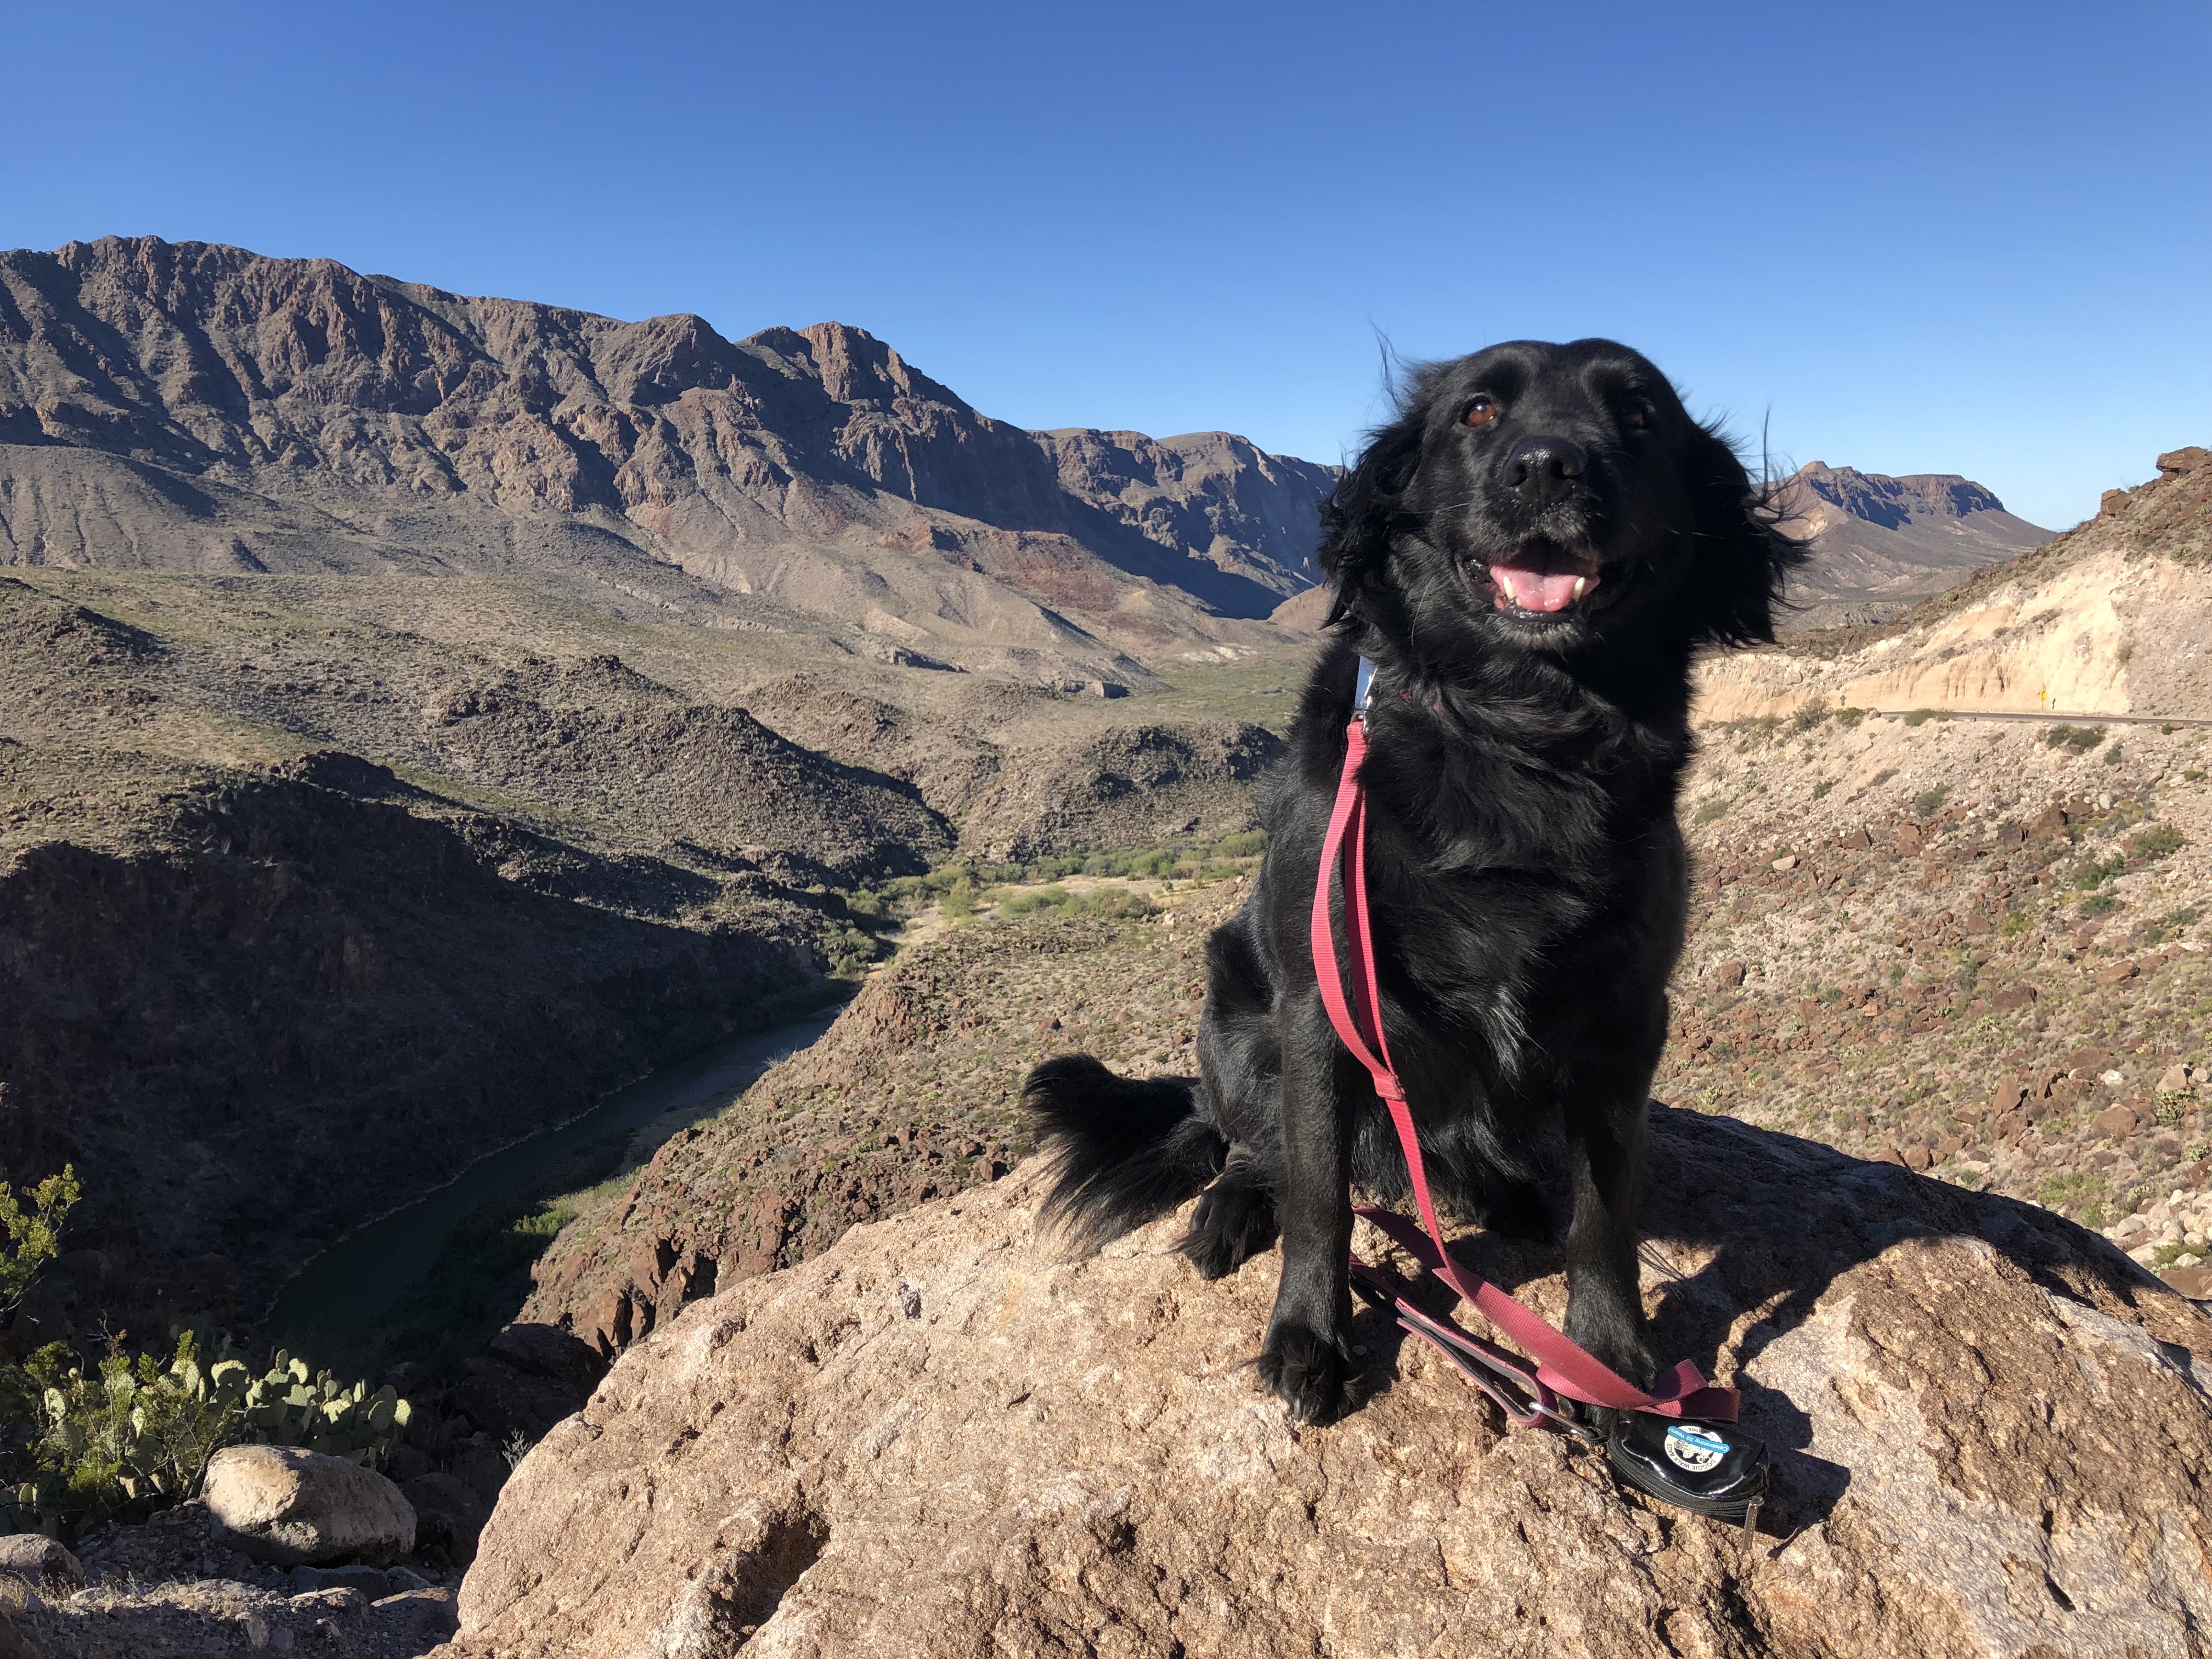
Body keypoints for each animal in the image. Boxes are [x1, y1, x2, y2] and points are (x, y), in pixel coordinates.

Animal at [1017, 340, 1796, 1433]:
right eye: (1476, 412)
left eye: (1640, 414)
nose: (1546, 468)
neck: (1517, 732)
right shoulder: (1323, 1001)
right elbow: (1320, 1193)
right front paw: (1309, 1334)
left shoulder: (1628, 1011)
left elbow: (1608, 1209)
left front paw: (1609, 1357)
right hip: (1236, 1021)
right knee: (1248, 1145)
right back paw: (1232, 1208)